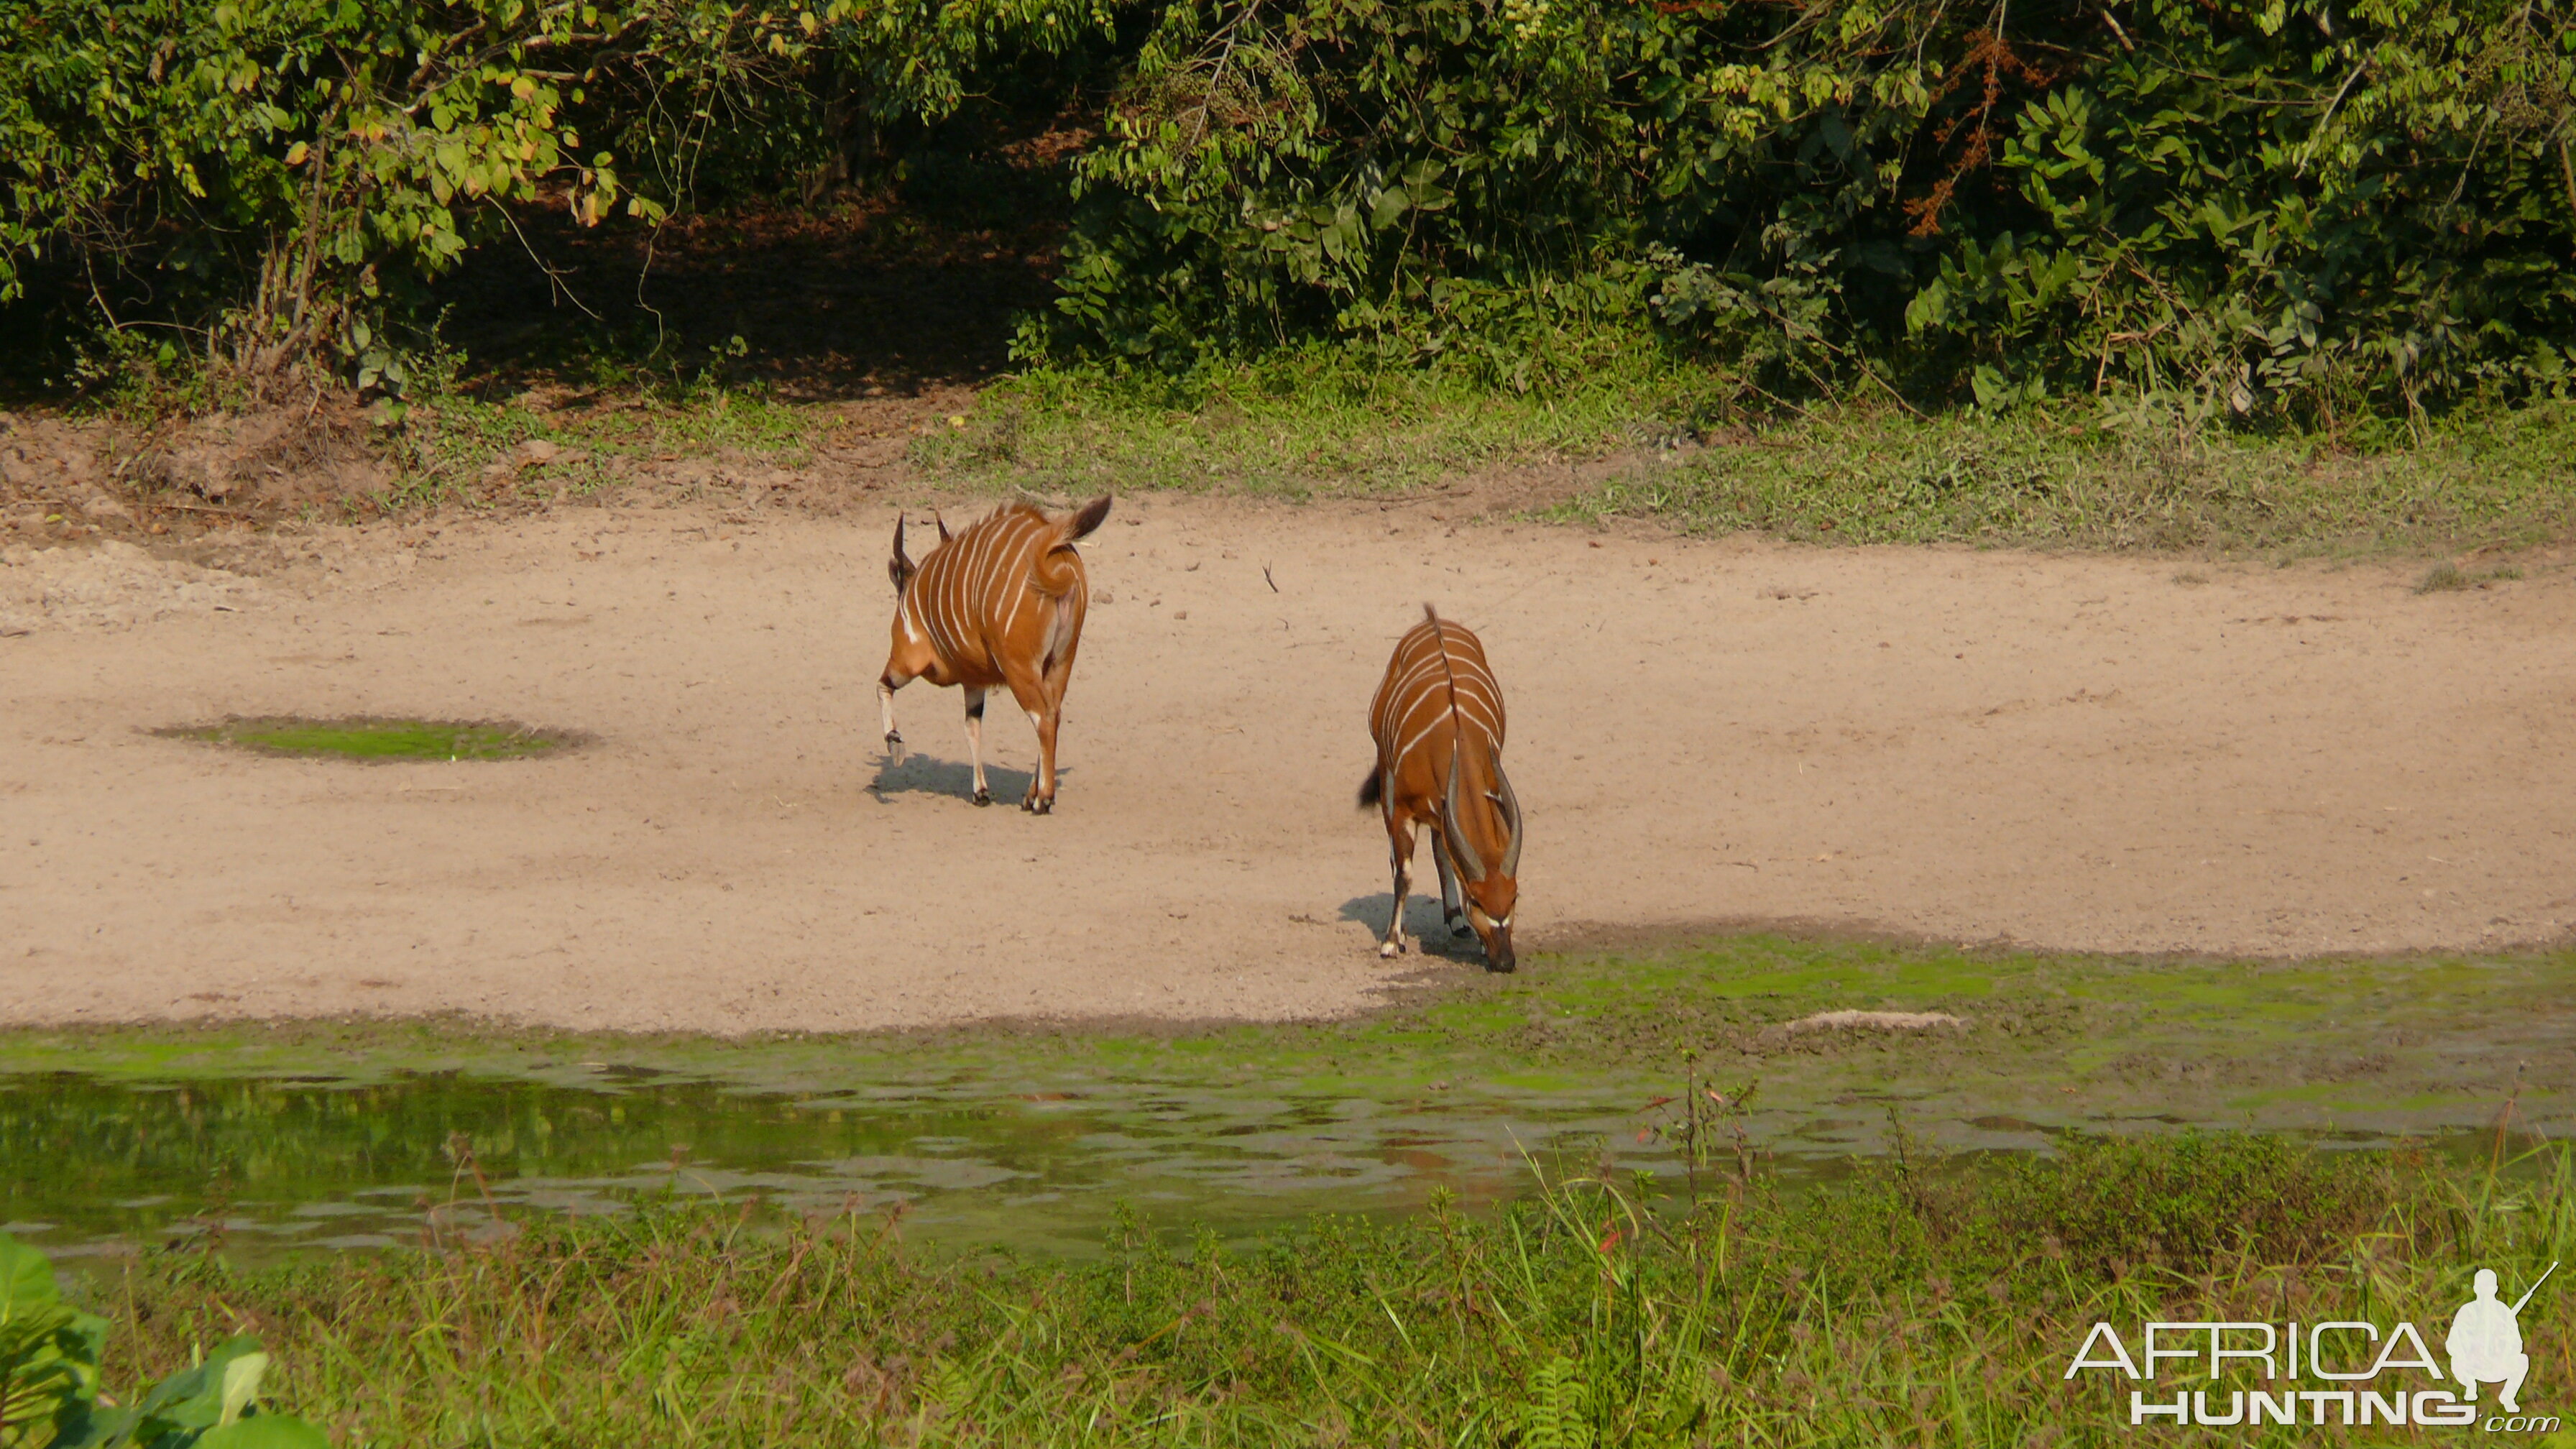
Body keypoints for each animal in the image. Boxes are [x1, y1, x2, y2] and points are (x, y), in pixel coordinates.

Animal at [880, 492, 1113, 814]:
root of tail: (1055, 556)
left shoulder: (908, 656)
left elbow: (884, 686)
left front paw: (895, 743)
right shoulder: (974, 682)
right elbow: (972, 726)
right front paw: (981, 792)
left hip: (1019, 667)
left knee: (1043, 718)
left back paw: (1043, 798)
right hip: (1060, 663)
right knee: (1054, 714)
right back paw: (1031, 795)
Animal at [1360, 603, 1514, 964]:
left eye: (1513, 897)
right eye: (1477, 900)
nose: (1505, 961)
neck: (1455, 737)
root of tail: (1433, 620)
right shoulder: (1403, 809)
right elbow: (1404, 873)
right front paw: (1391, 941)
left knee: (1439, 847)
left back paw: (1455, 920)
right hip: (1386, 772)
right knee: (1398, 858)